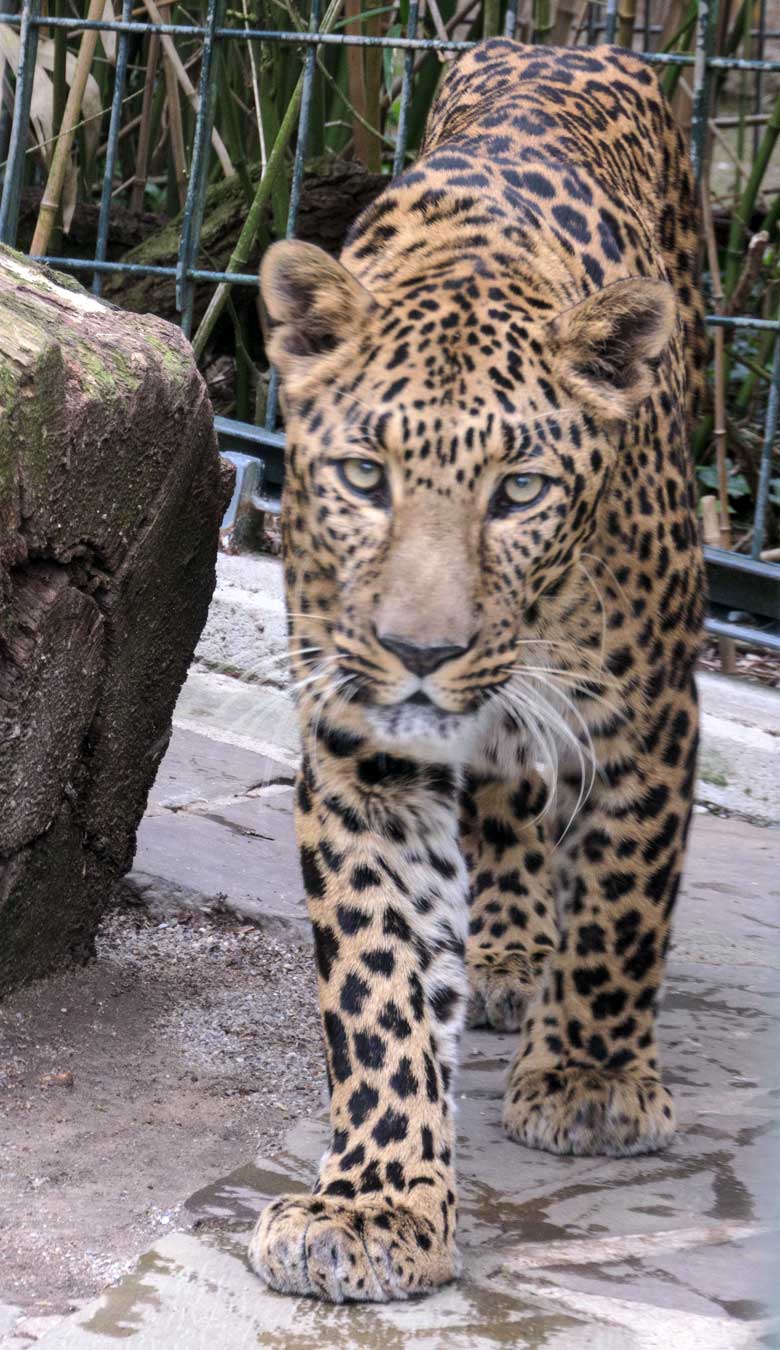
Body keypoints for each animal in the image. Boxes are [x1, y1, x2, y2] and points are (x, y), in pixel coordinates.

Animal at [245, 39, 701, 1306]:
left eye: (521, 492)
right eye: (364, 477)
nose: (421, 652)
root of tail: (565, 39)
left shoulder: (649, 718)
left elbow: (622, 902)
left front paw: (592, 1082)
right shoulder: (362, 751)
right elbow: (376, 986)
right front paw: (374, 1205)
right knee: (503, 794)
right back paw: (504, 947)